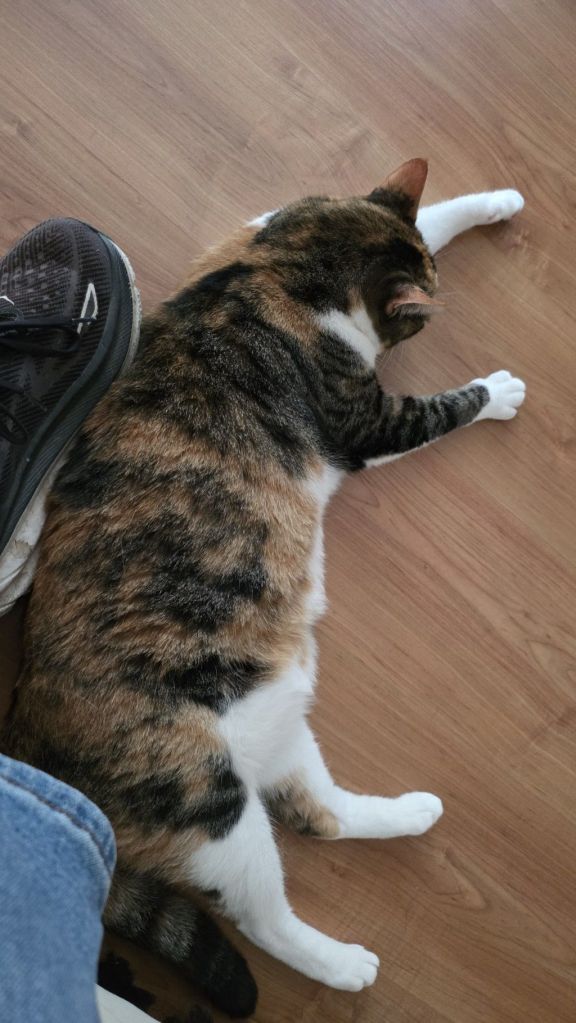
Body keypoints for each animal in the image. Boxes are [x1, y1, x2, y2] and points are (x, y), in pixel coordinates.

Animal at [1, 159, 526, 1015]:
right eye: (420, 321)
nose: (436, 295)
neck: (287, 265)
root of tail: (29, 736)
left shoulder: (278, 217)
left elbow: (433, 213)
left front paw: (495, 203)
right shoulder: (366, 423)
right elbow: (441, 407)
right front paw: (499, 389)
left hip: (277, 710)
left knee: (321, 816)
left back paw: (410, 812)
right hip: (209, 804)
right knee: (262, 915)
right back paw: (343, 963)